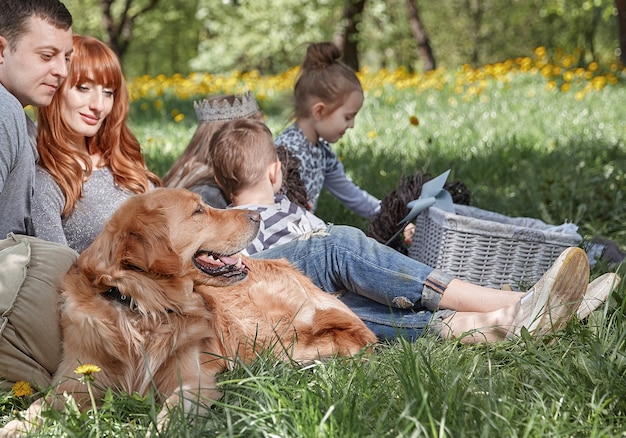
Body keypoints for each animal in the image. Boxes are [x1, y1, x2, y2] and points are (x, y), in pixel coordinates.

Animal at [1, 188, 376, 434]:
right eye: (199, 211)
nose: (257, 214)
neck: (140, 308)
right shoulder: (75, 382)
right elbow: (38, 408)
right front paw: (15, 427)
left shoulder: (192, 380)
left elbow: (172, 412)